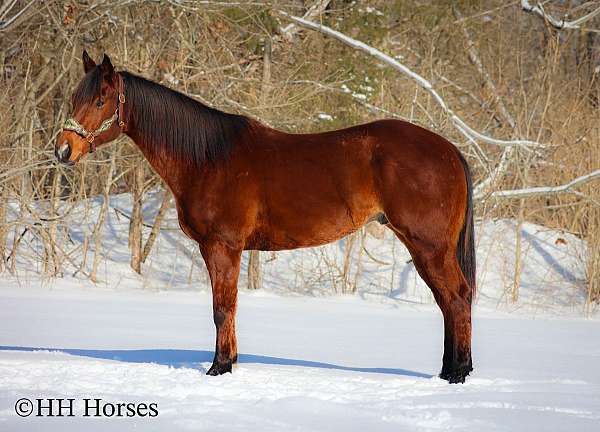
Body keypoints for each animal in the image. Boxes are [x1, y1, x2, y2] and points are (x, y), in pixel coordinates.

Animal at [57, 51, 478, 384]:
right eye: (75, 96)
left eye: (100, 99)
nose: (63, 150)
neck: (207, 157)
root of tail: (449, 150)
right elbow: (228, 306)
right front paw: (229, 361)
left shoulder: (223, 246)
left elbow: (222, 307)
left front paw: (219, 367)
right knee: (448, 300)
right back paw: (448, 371)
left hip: (429, 245)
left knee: (456, 298)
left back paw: (457, 374)